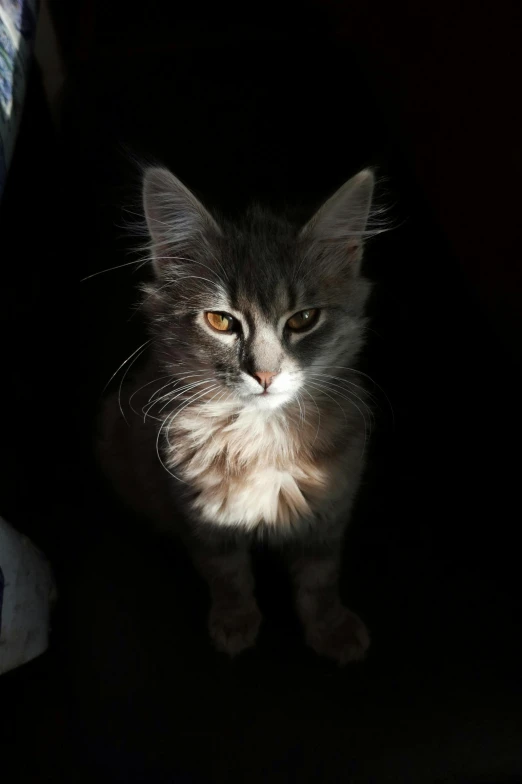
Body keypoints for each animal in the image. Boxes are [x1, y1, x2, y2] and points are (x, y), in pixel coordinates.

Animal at [97, 165, 374, 660]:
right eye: (221, 321)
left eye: (303, 320)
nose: (264, 375)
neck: (264, 437)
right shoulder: (200, 517)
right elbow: (227, 577)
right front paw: (235, 623)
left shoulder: (330, 512)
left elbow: (320, 583)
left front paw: (332, 629)